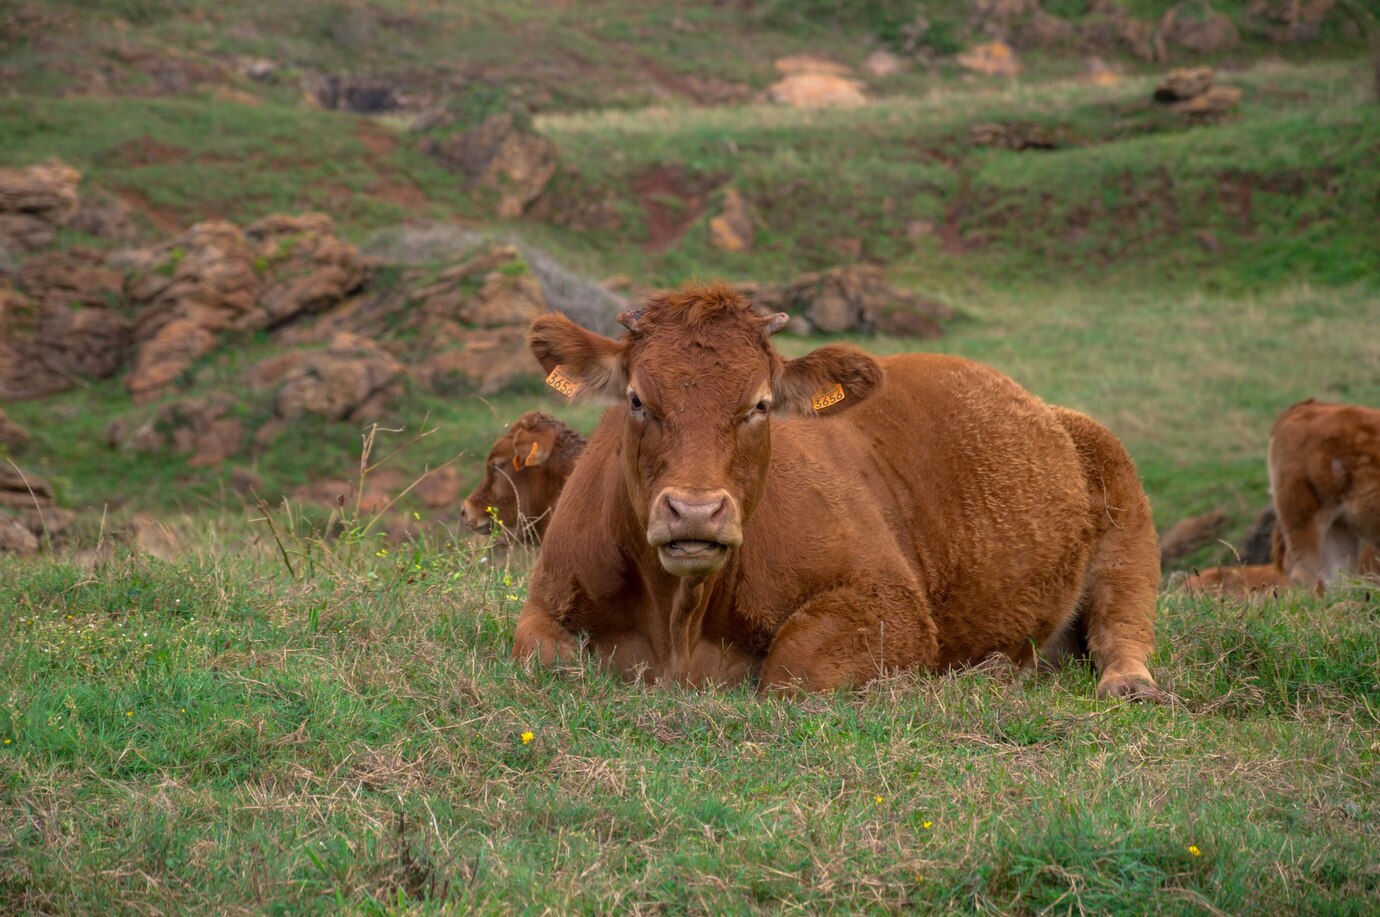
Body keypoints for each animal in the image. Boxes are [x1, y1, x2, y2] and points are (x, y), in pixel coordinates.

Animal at [513, 283, 1159, 698]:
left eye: (760, 404)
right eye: (637, 400)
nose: (695, 511)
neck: (679, 629)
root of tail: (1047, 409)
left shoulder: (892, 604)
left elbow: (791, 671)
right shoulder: (547, 597)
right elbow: (543, 658)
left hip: (1127, 529)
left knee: (1122, 627)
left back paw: (1120, 684)